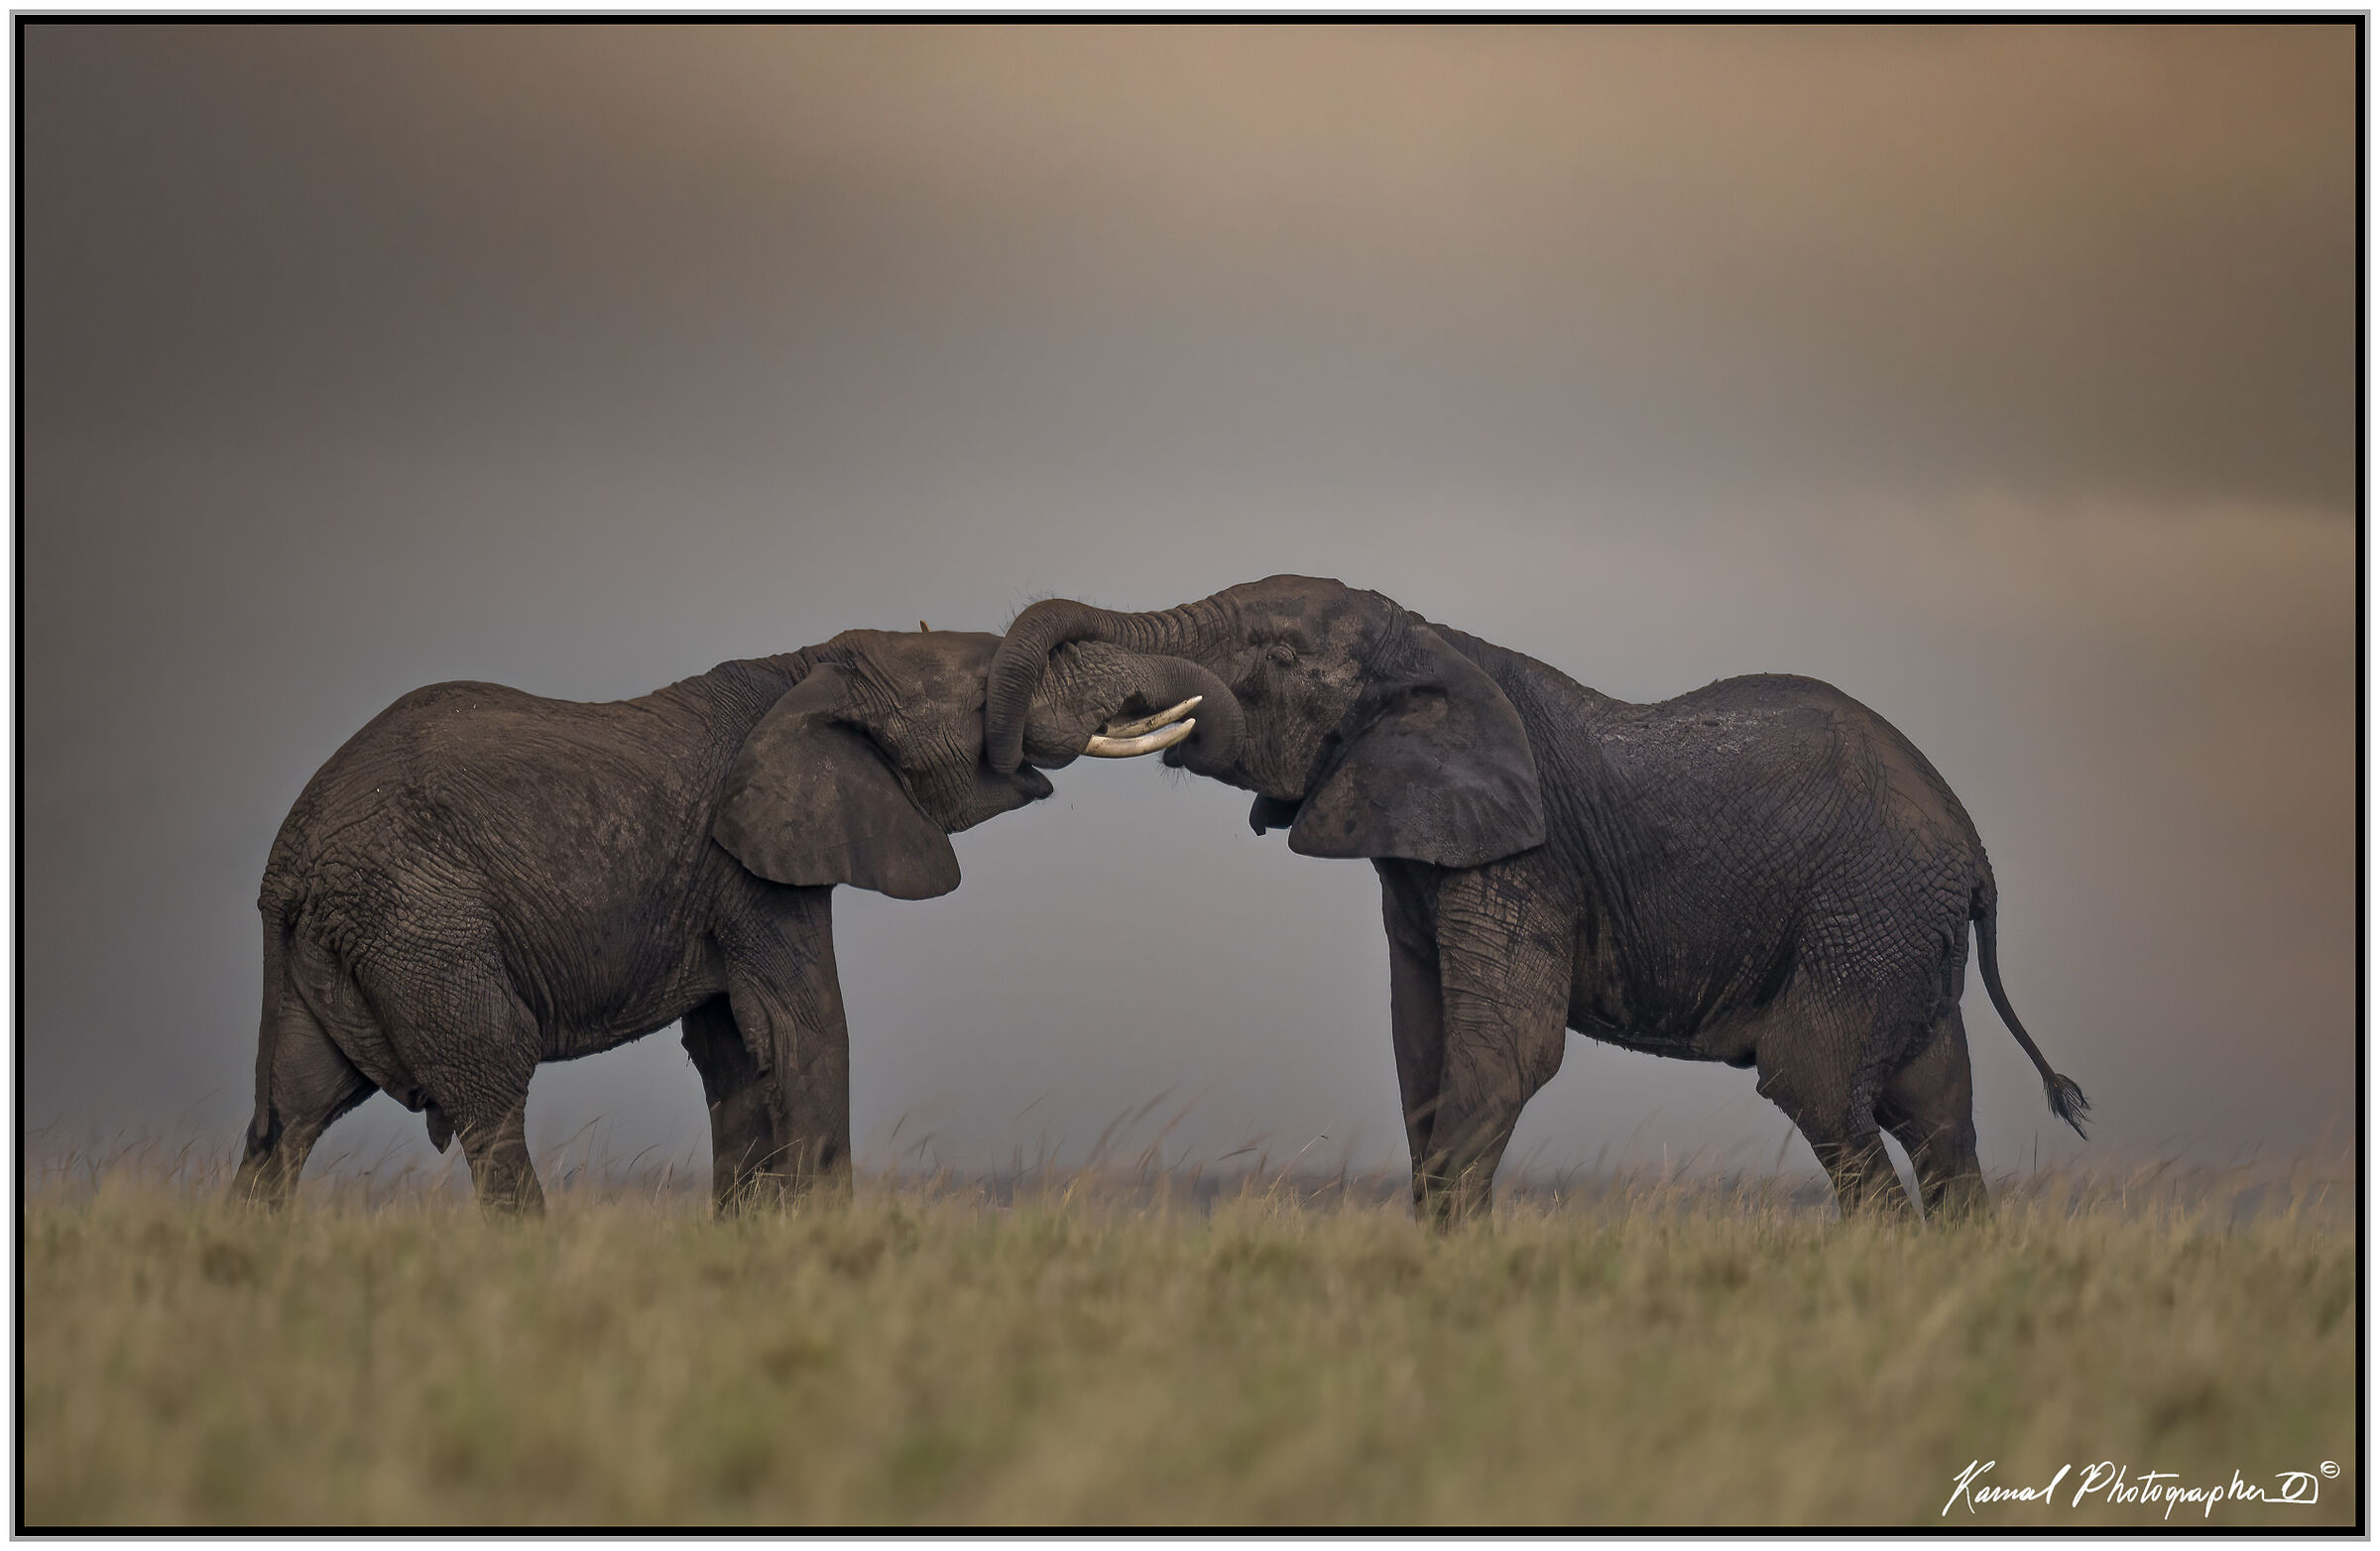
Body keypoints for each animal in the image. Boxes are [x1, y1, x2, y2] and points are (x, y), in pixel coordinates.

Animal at [232, 627, 1213, 1214]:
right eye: (982, 699)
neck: (809, 666)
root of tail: (293, 857)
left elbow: (735, 1054)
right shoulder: (752, 866)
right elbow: (806, 1027)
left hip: (334, 946)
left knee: (291, 1110)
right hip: (424, 920)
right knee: (487, 1088)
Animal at [984, 575, 2089, 1226]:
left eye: (1271, 664)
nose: (1009, 756)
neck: (1434, 643)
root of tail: (1977, 854)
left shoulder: (1524, 858)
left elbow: (1504, 1051)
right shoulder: (1419, 858)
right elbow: (1422, 1052)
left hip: (1866, 909)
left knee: (1819, 1081)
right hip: (1900, 930)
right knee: (1937, 1109)